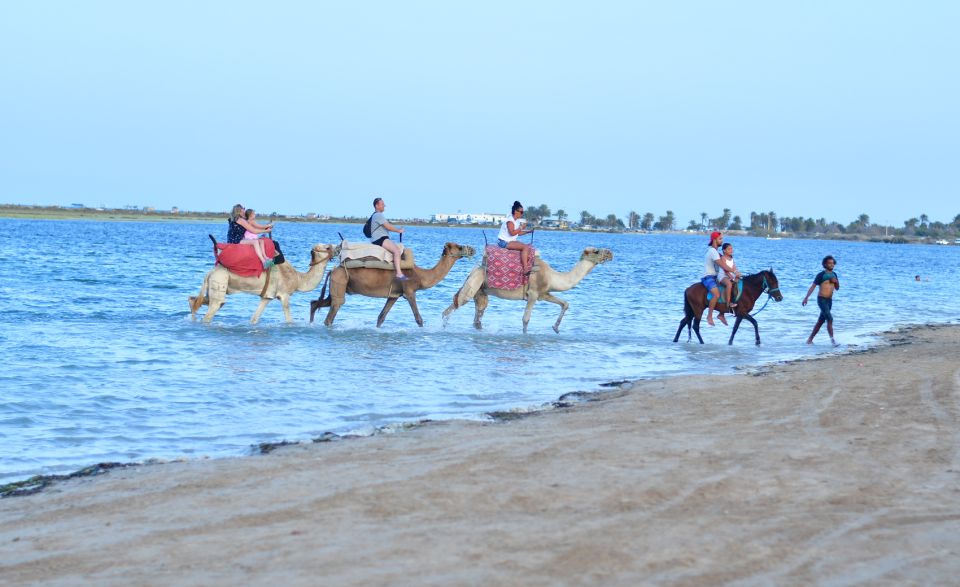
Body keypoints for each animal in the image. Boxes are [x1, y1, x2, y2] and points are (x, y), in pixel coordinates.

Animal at [188, 243, 338, 326]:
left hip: (212, 286)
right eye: (327, 247)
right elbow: (289, 320)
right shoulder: (284, 295)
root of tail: (210, 272)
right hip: (219, 281)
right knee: (212, 310)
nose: (338, 248)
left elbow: (254, 318)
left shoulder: (267, 296)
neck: (298, 278)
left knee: (195, 301)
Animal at [312, 241, 476, 328]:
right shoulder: (409, 291)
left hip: (339, 286)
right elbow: (418, 318)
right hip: (340, 282)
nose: (472, 249)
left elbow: (381, 317)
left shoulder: (394, 295)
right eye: (459, 247)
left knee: (317, 303)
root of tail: (333, 270)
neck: (420, 275)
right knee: (333, 310)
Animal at [442, 246, 616, 334]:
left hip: (481, 292)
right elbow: (525, 319)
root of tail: (473, 270)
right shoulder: (532, 294)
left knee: (477, 316)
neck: (552, 276)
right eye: (596, 251)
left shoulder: (544, 293)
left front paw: (555, 328)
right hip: (474, 285)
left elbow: (565, 303)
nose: (611, 253)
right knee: (452, 307)